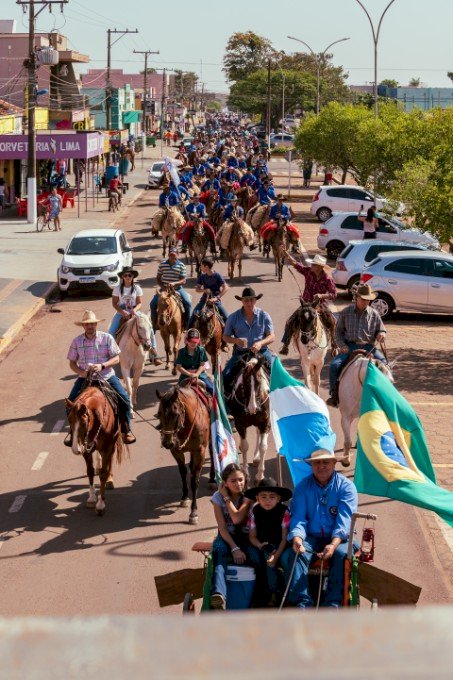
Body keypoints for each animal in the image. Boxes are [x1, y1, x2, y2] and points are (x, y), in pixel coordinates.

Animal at [65, 382, 126, 516]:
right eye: (69, 421)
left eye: (83, 423)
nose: (75, 449)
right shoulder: (86, 449)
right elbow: (90, 471)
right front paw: (92, 498)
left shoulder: (107, 447)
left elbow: (103, 474)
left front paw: (100, 505)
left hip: (111, 444)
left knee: (109, 463)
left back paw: (109, 479)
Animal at [154, 386, 213, 524]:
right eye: (159, 413)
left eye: (175, 414)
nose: (167, 443)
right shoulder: (176, 451)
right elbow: (182, 472)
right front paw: (185, 497)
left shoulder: (199, 451)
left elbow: (195, 480)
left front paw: (193, 512)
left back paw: (213, 479)